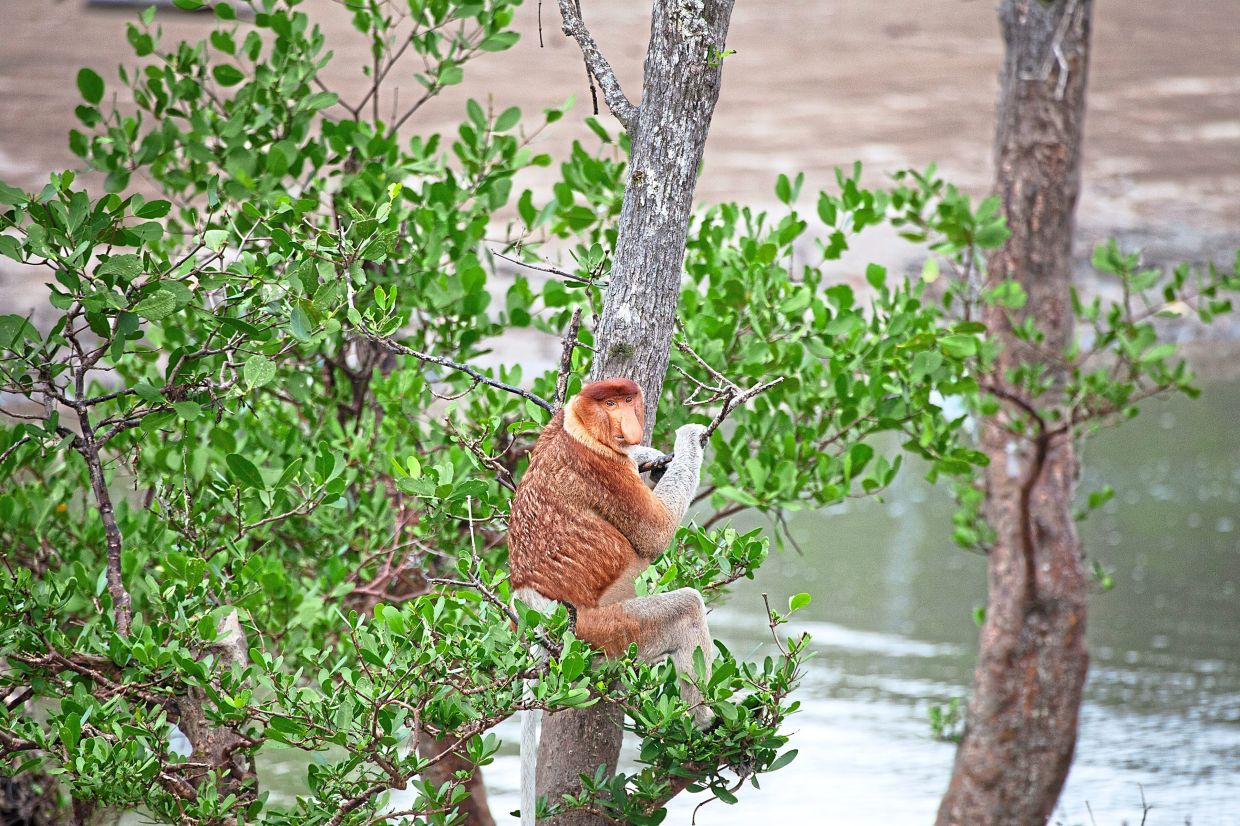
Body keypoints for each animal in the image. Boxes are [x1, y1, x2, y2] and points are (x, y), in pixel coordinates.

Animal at [509, 378, 713, 826]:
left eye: (627, 399)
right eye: (610, 404)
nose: (630, 430)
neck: (577, 427)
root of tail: (534, 613)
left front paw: (649, 457)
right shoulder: (605, 470)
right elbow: (656, 534)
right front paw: (688, 437)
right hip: (602, 630)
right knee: (686, 610)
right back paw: (711, 728)